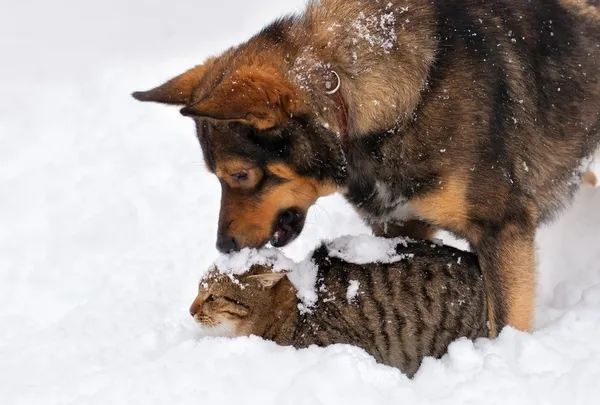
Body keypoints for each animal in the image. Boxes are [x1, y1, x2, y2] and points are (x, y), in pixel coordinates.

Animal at [134, 0, 600, 334]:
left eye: (239, 175)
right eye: (217, 178)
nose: (224, 247)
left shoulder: (502, 231)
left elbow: (506, 323)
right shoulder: (399, 227)